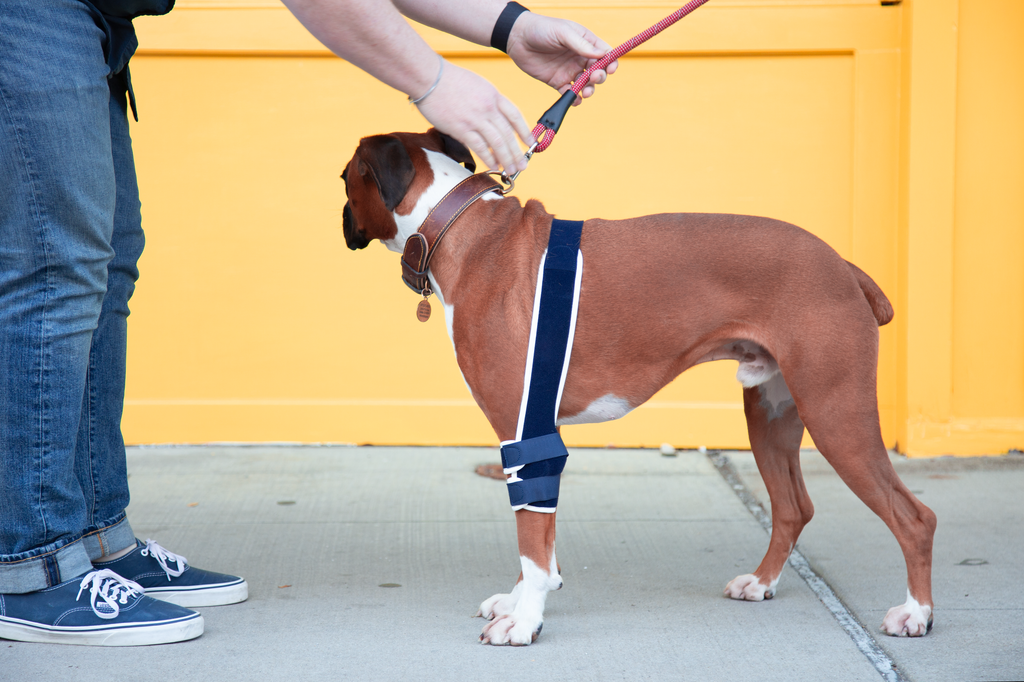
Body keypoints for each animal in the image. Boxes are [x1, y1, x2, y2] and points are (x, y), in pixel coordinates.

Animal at [339, 127, 933, 643]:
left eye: (344, 177)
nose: (340, 217)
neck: (462, 230)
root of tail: (842, 265)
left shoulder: (523, 432)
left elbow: (532, 541)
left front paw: (524, 621)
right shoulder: (533, 437)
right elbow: (539, 536)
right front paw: (521, 601)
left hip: (836, 414)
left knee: (913, 518)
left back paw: (915, 614)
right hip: (771, 415)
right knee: (792, 508)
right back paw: (761, 583)